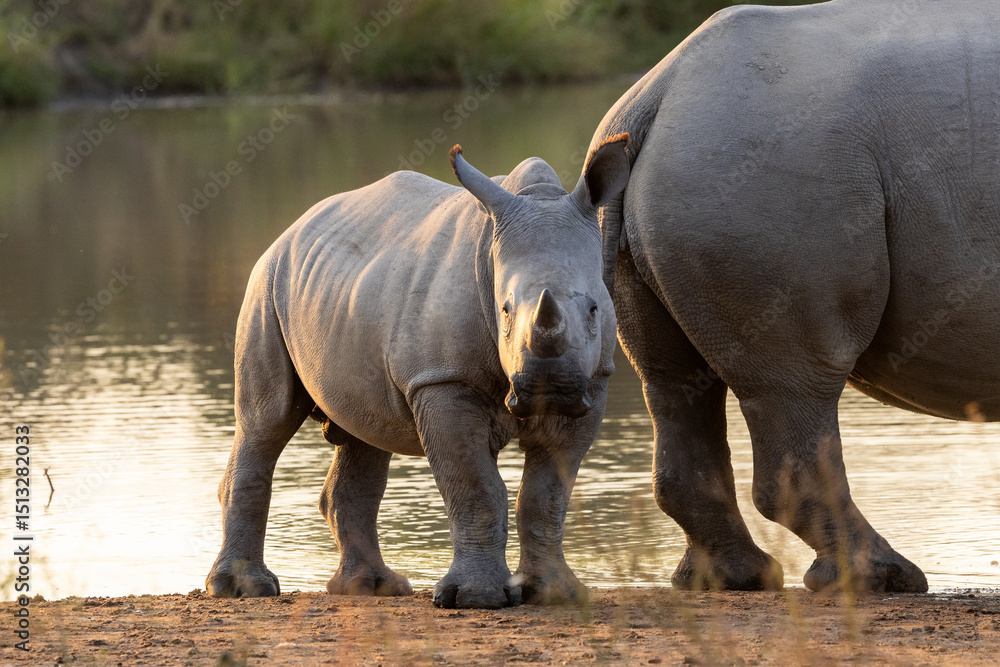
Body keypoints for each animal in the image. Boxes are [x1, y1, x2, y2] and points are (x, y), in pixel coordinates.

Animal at [205, 136, 630, 608]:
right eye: (504, 310)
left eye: (594, 309)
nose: (548, 388)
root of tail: (290, 230)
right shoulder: (442, 379)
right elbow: (476, 486)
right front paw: (475, 598)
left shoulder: (594, 381)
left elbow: (546, 494)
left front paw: (557, 594)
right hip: (266, 285)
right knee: (266, 422)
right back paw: (245, 590)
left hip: (339, 293)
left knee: (364, 432)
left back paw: (373, 588)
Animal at [589, 0, 1000, 593]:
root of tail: (654, 95)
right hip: (769, 172)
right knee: (800, 383)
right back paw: (882, 578)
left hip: (687, 175)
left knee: (671, 380)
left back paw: (735, 579)